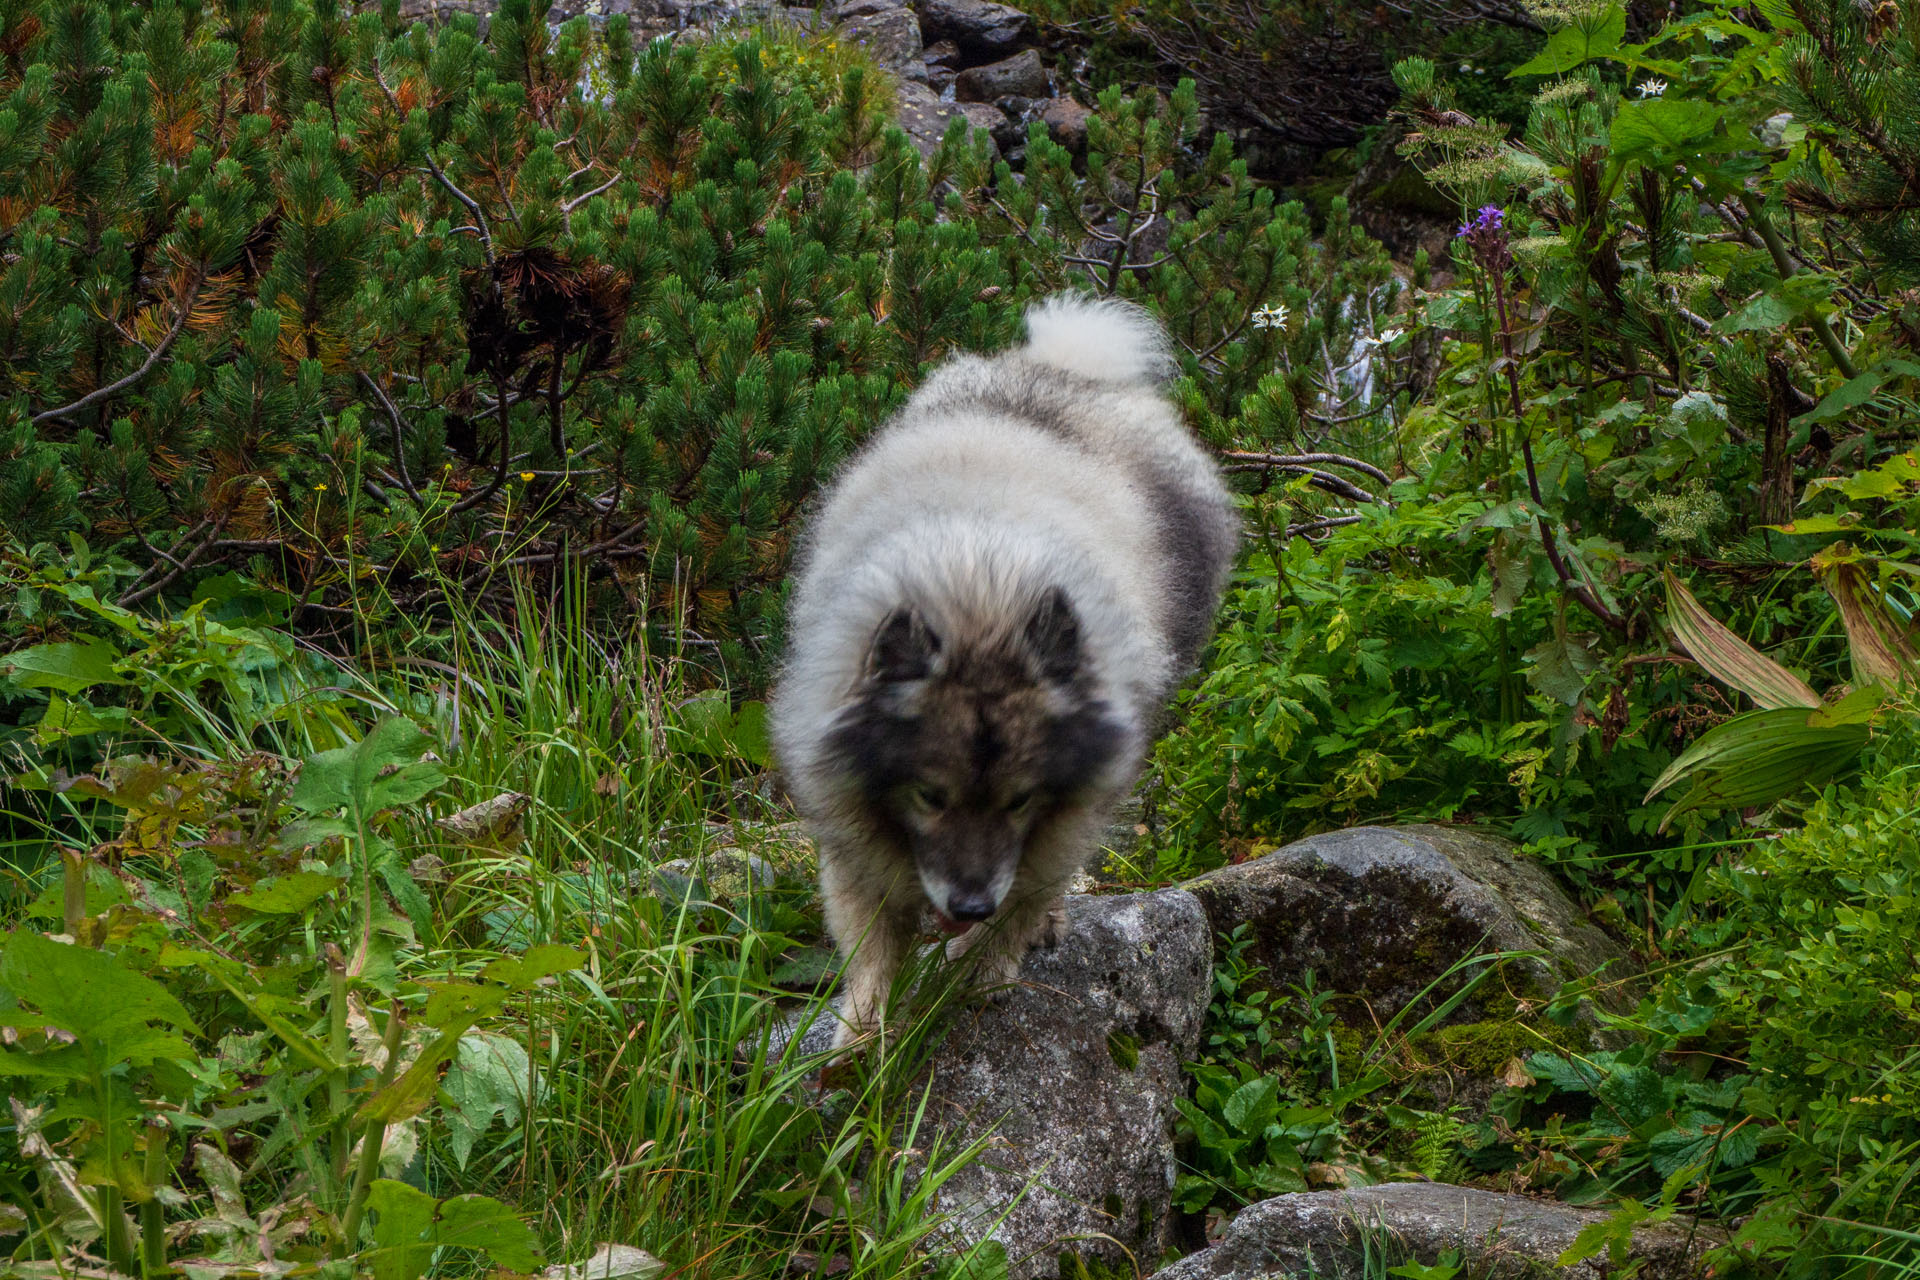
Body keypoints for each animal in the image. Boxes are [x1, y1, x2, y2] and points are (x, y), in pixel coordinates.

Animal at [771, 295, 1236, 1043]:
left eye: (1021, 801)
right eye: (929, 796)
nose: (968, 905)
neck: (978, 607)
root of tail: (1068, 367)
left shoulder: (1059, 822)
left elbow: (1024, 899)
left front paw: (984, 971)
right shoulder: (854, 836)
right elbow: (872, 945)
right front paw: (858, 1042)